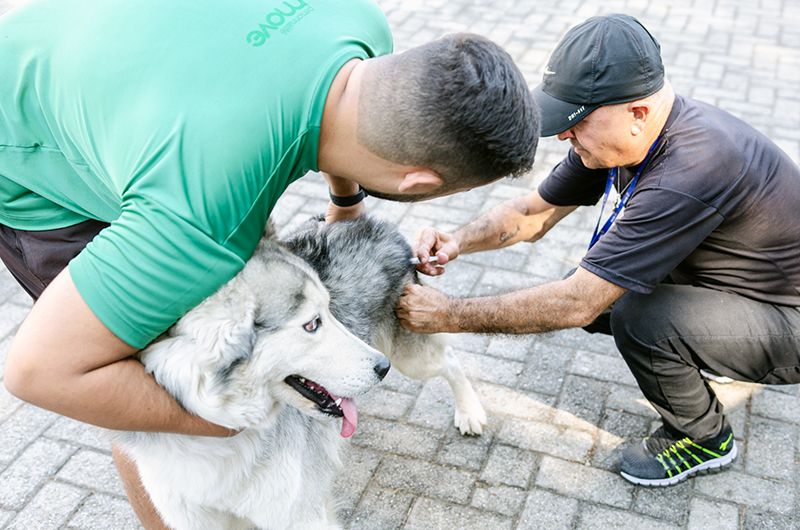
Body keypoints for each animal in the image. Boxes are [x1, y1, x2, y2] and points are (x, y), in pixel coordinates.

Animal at [116, 214, 484, 528]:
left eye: (328, 311)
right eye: (312, 324)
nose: (383, 368)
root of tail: (382, 225)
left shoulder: (302, 517)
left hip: (413, 357)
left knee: (451, 360)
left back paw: (470, 413)